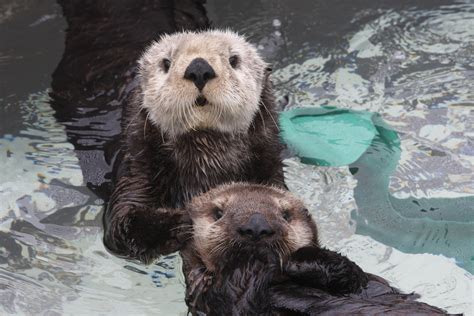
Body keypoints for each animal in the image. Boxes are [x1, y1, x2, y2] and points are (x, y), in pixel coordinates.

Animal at [182, 183, 448, 316]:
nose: (256, 226)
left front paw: (296, 261)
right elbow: (238, 302)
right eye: (218, 212)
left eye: (286, 214)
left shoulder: (365, 285)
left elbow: (351, 275)